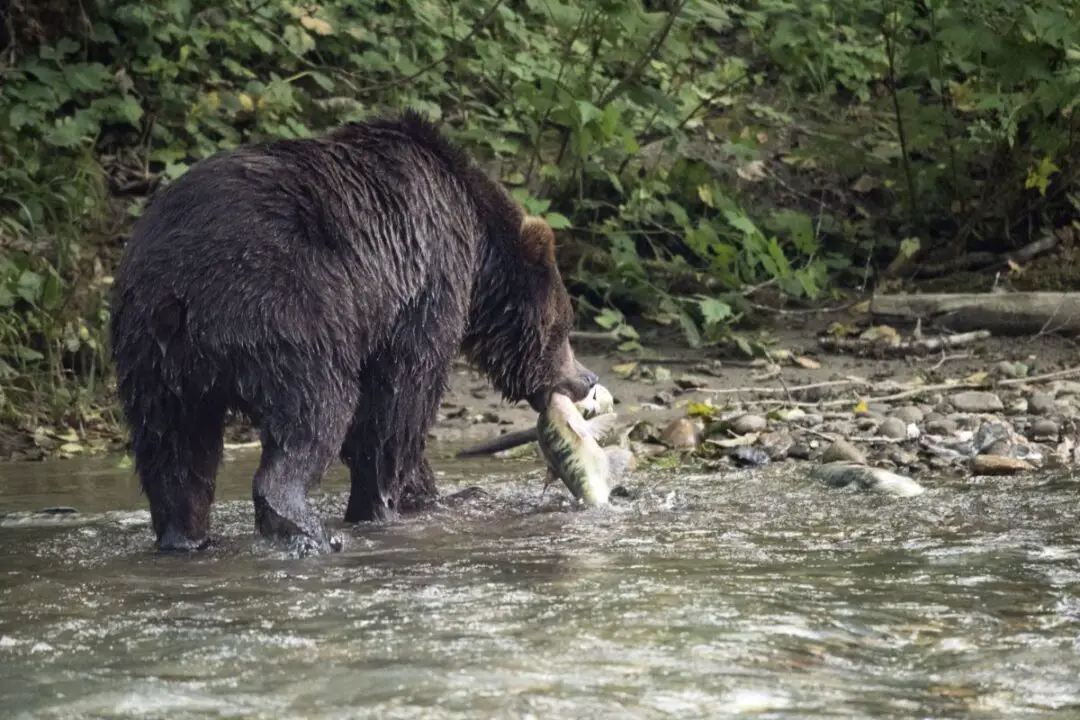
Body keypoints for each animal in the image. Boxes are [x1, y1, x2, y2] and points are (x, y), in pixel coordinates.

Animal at [109, 111, 598, 554]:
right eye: (565, 328)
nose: (587, 379)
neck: (478, 244)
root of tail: (181, 289)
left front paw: (426, 494)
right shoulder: (423, 281)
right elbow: (400, 402)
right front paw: (389, 503)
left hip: (153, 357)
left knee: (174, 450)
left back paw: (184, 536)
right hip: (287, 312)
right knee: (316, 412)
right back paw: (306, 527)